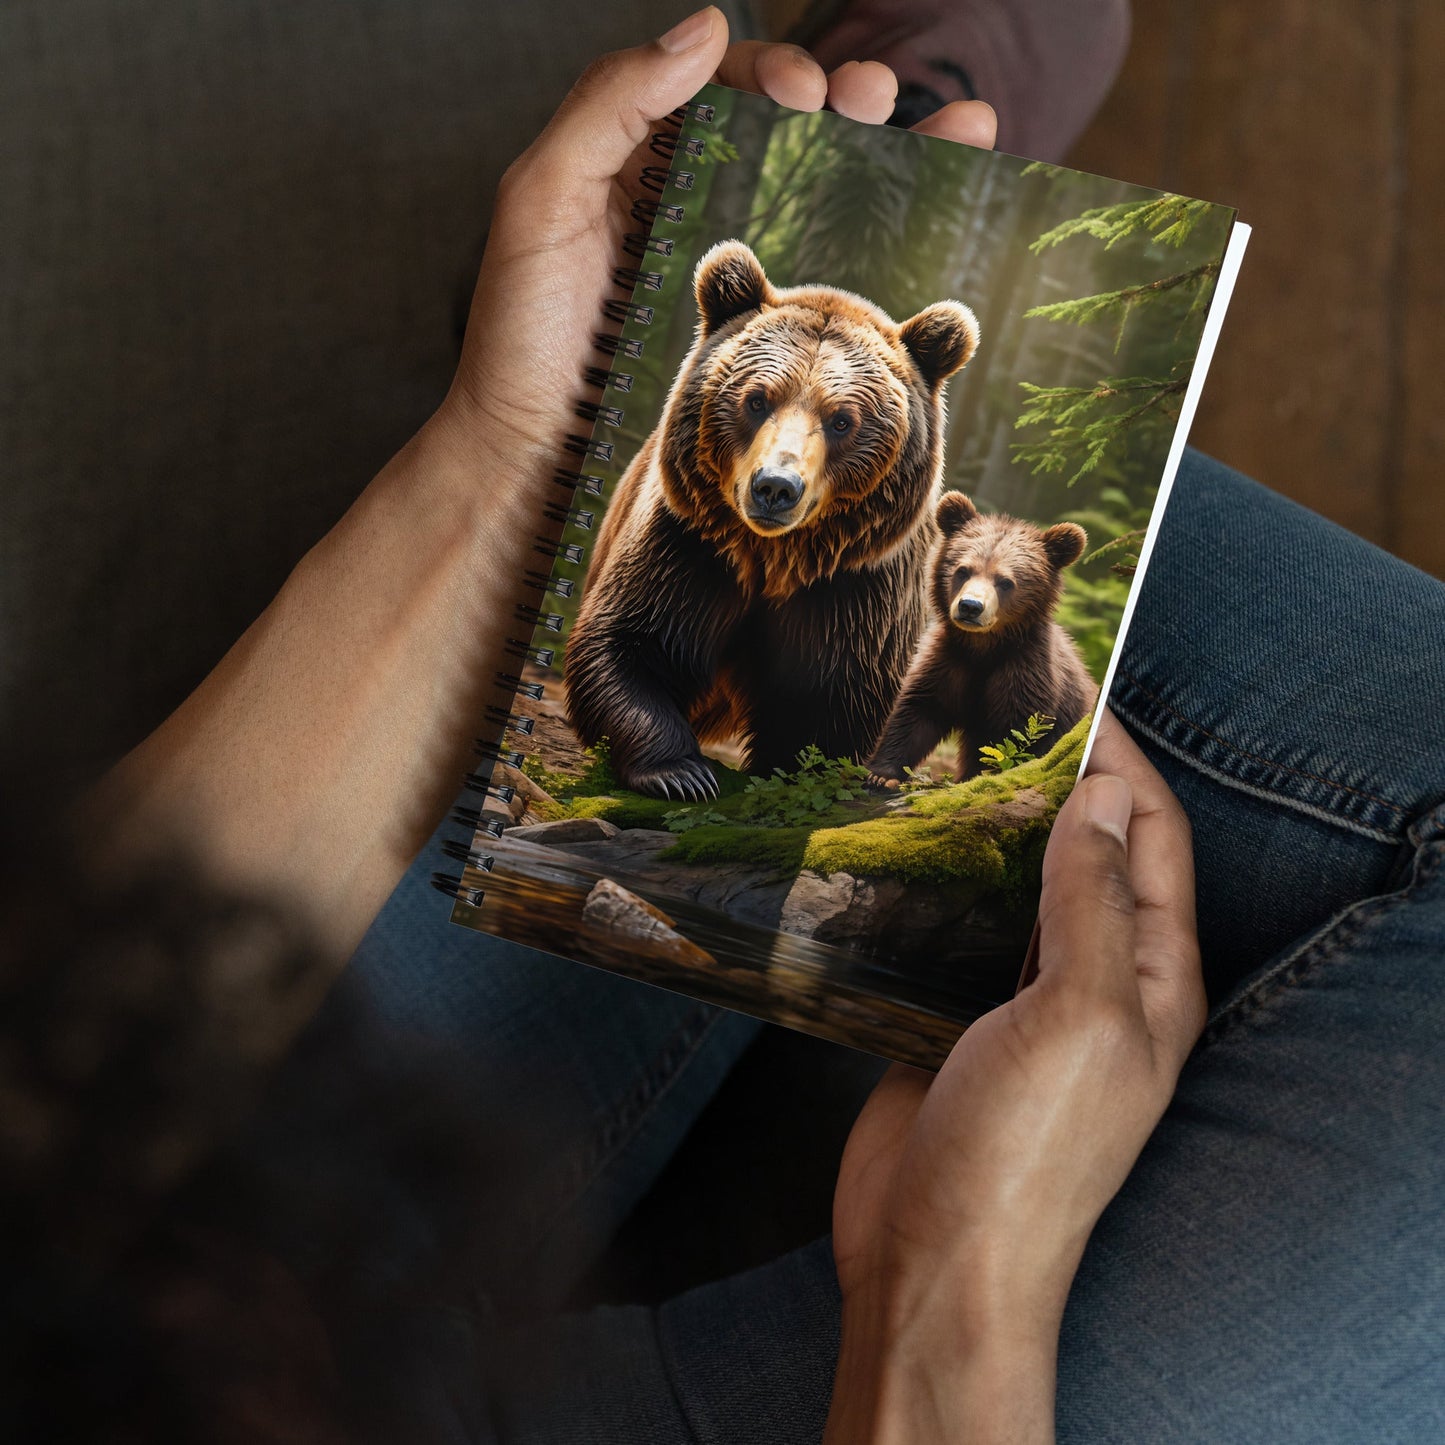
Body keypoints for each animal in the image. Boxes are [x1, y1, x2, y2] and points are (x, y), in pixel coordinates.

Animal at [565, 239, 979, 801]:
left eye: (842, 420)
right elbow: (629, 644)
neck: (774, 558)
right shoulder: (689, 545)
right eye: (757, 399)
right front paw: (682, 773)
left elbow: (834, 704)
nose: (775, 488)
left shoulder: (855, 587)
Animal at [865, 491, 1097, 786]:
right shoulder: (949, 660)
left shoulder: (1026, 672)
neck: (984, 647)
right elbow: (918, 712)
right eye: (963, 570)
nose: (970, 606)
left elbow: (1019, 740)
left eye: (1006, 581)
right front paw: (882, 774)